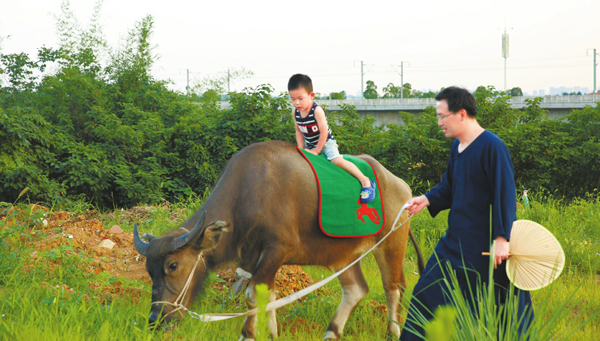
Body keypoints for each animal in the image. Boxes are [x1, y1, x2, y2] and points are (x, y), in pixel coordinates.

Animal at [134, 139, 424, 338]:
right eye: (148, 270)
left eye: (173, 266)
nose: (155, 319)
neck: (248, 196)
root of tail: (400, 184)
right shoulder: (254, 259)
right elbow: (268, 297)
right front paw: (271, 333)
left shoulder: (277, 249)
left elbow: (253, 296)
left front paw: (249, 333)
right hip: (342, 254)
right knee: (357, 289)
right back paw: (332, 332)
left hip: (392, 242)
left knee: (393, 286)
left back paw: (393, 332)